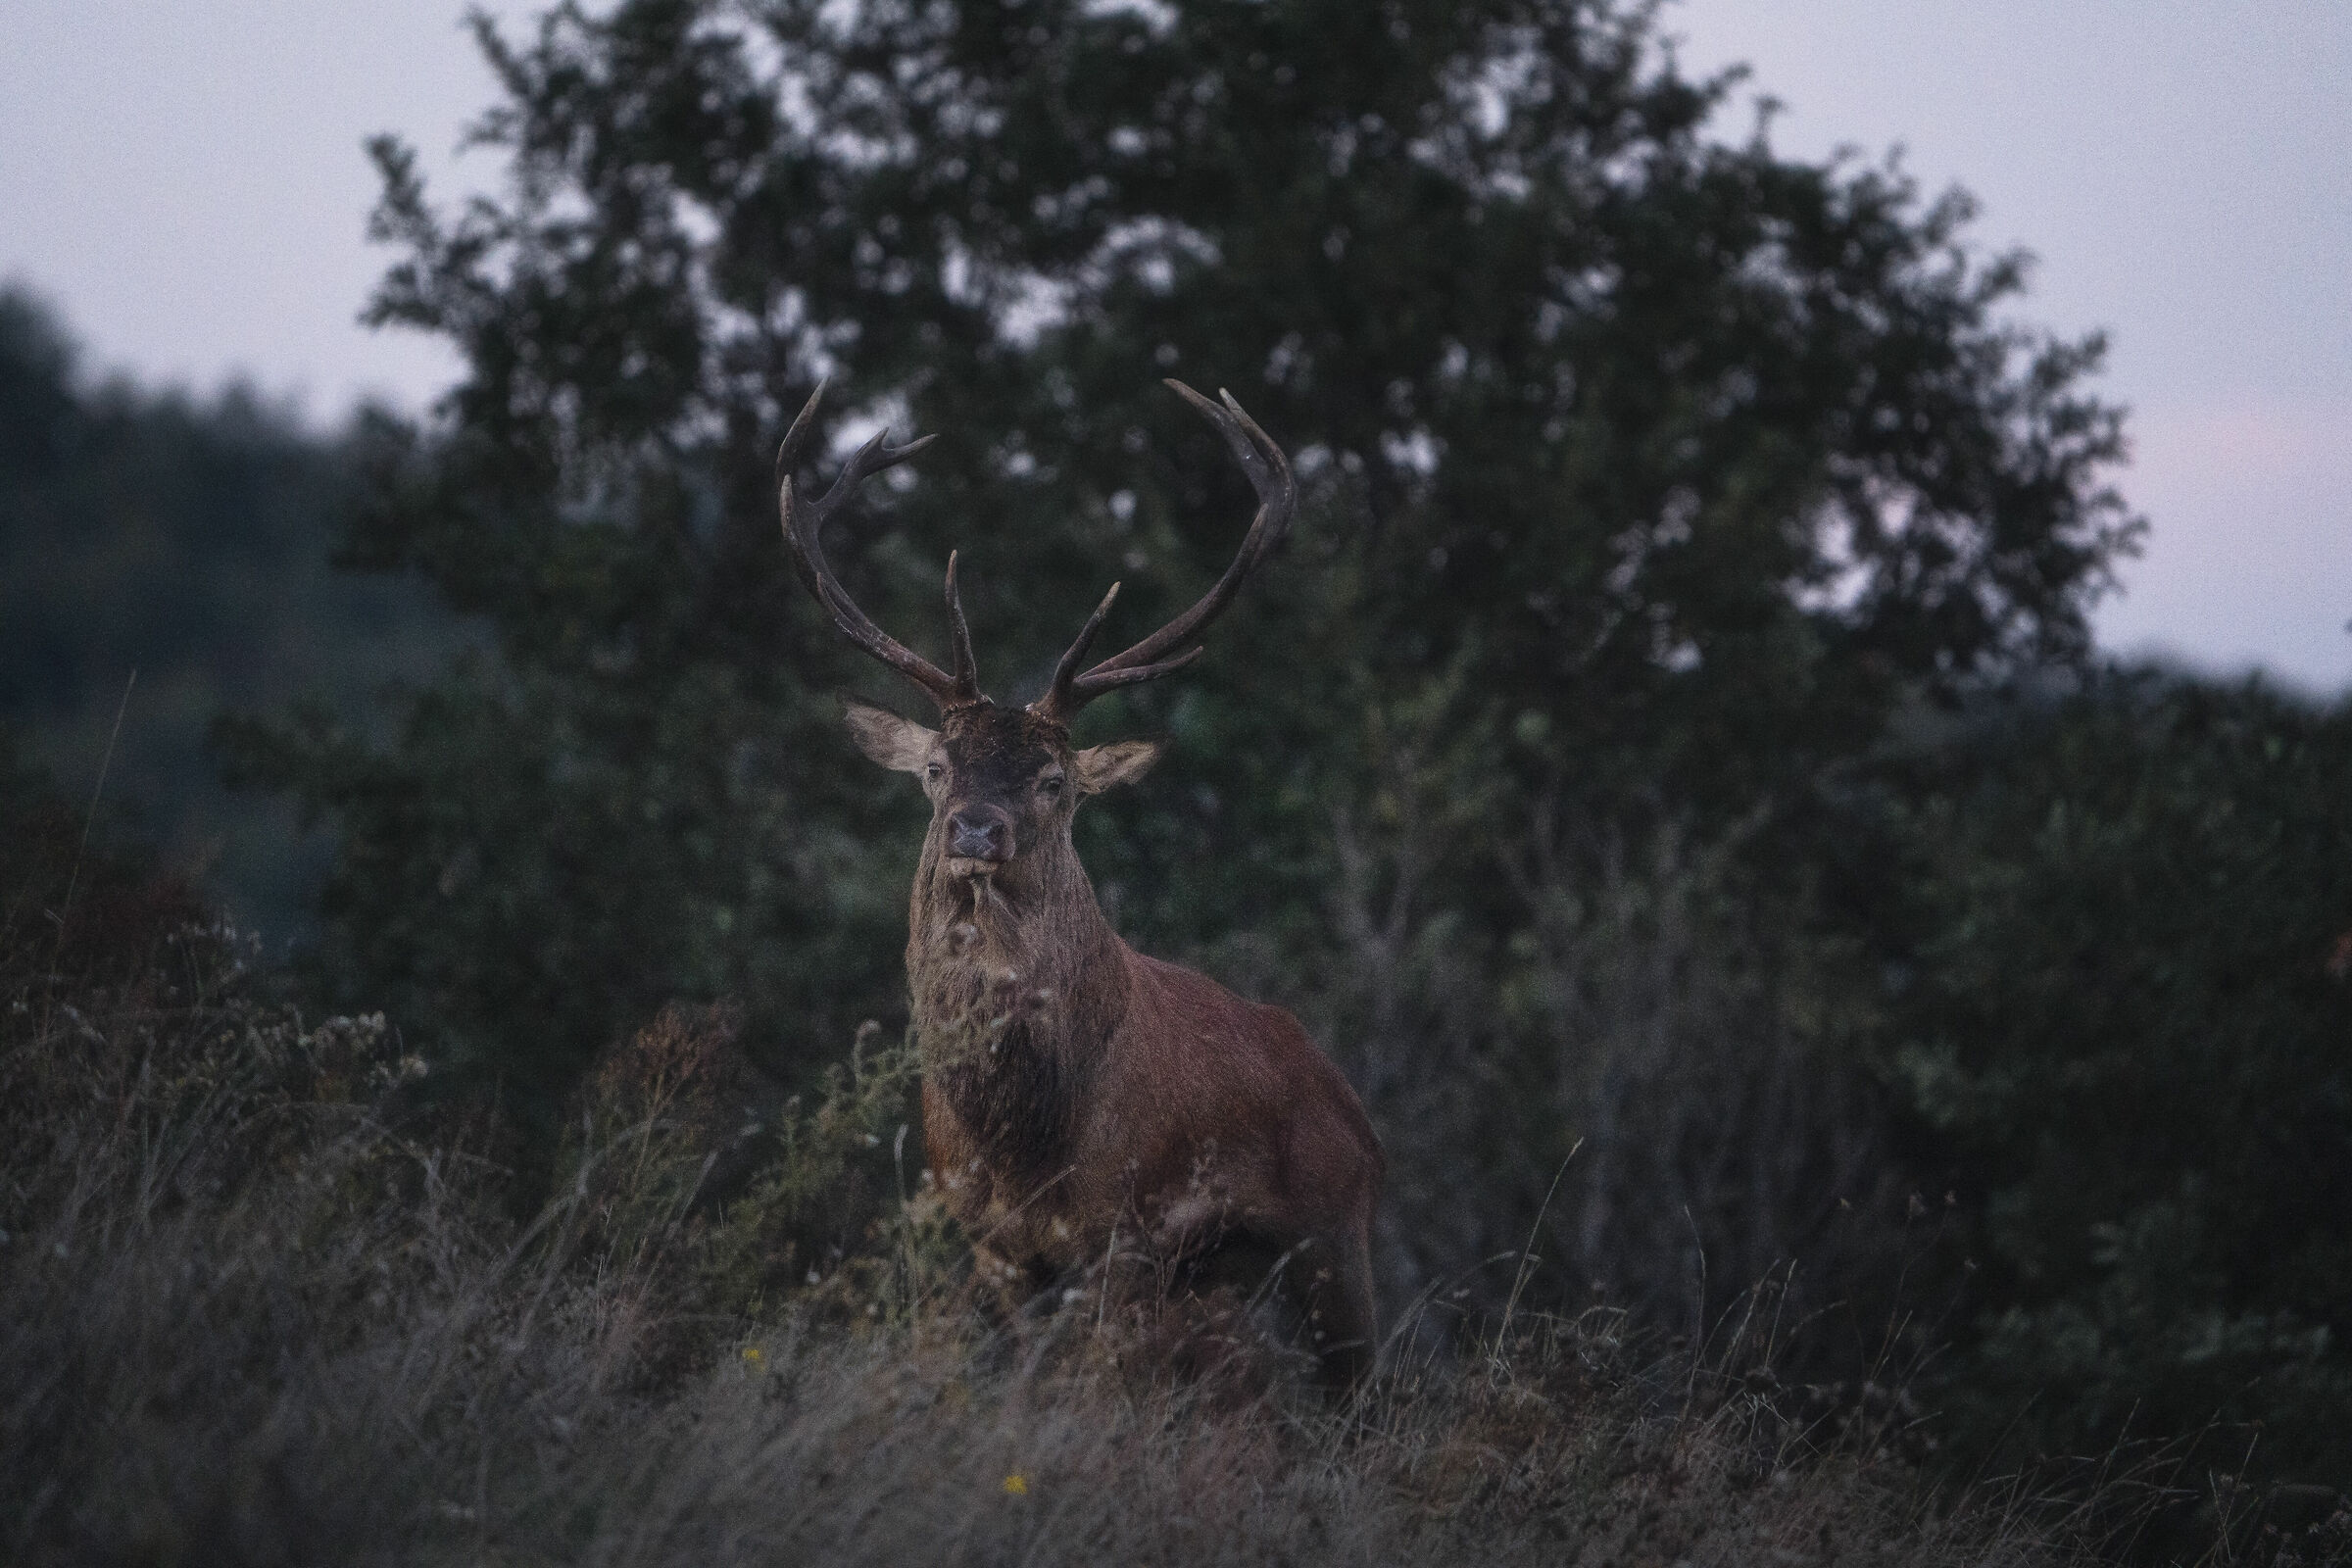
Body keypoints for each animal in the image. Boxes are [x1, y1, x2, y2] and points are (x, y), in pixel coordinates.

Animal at [775, 379, 1384, 1385]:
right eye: (937, 766)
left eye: (1054, 780)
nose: (975, 828)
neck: (1024, 1143)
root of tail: (1355, 1106)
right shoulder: (991, 1242)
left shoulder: (1120, 1232)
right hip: (1226, 1275)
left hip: (1336, 1238)